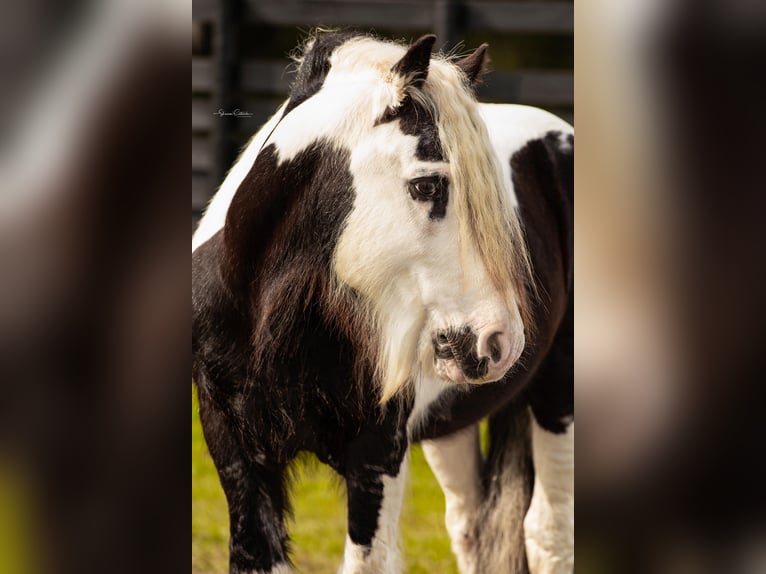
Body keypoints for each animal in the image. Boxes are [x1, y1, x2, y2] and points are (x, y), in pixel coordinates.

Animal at [195, 32, 572, 574]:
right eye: (427, 184)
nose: (501, 341)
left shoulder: (376, 458)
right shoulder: (236, 451)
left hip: (557, 394)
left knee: (547, 532)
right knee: (471, 526)